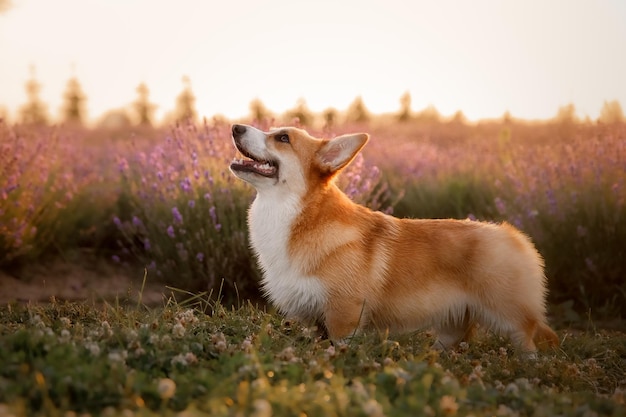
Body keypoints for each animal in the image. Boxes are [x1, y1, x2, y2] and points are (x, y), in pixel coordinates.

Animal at [228, 122, 556, 352]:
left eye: (283, 138)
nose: (235, 127)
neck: (298, 216)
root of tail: (513, 235)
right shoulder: (310, 319)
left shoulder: (344, 315)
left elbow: (339, 347)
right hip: (451, 324)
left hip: (510, 317)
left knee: (530, 342)